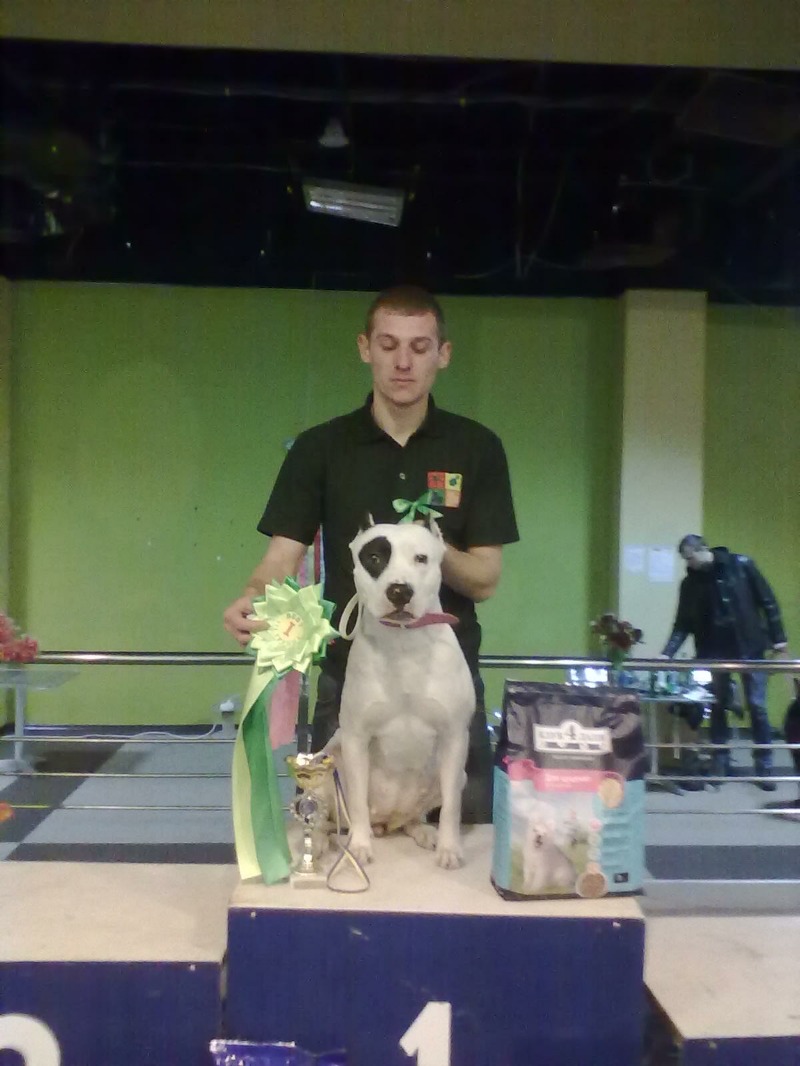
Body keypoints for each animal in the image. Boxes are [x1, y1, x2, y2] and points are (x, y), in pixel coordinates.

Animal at [330, 516, 475, 869]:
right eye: (374, 558)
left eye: (421, 558)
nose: (399, 590)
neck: (403, 644)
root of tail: (389, 819)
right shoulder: (355, 737)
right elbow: (356, 801)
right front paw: (359, 846)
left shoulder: (454, 736)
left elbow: (452, 806)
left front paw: (449, 849)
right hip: (330, 756)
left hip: (457, 775)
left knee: (416, 816)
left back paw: (423, 832)